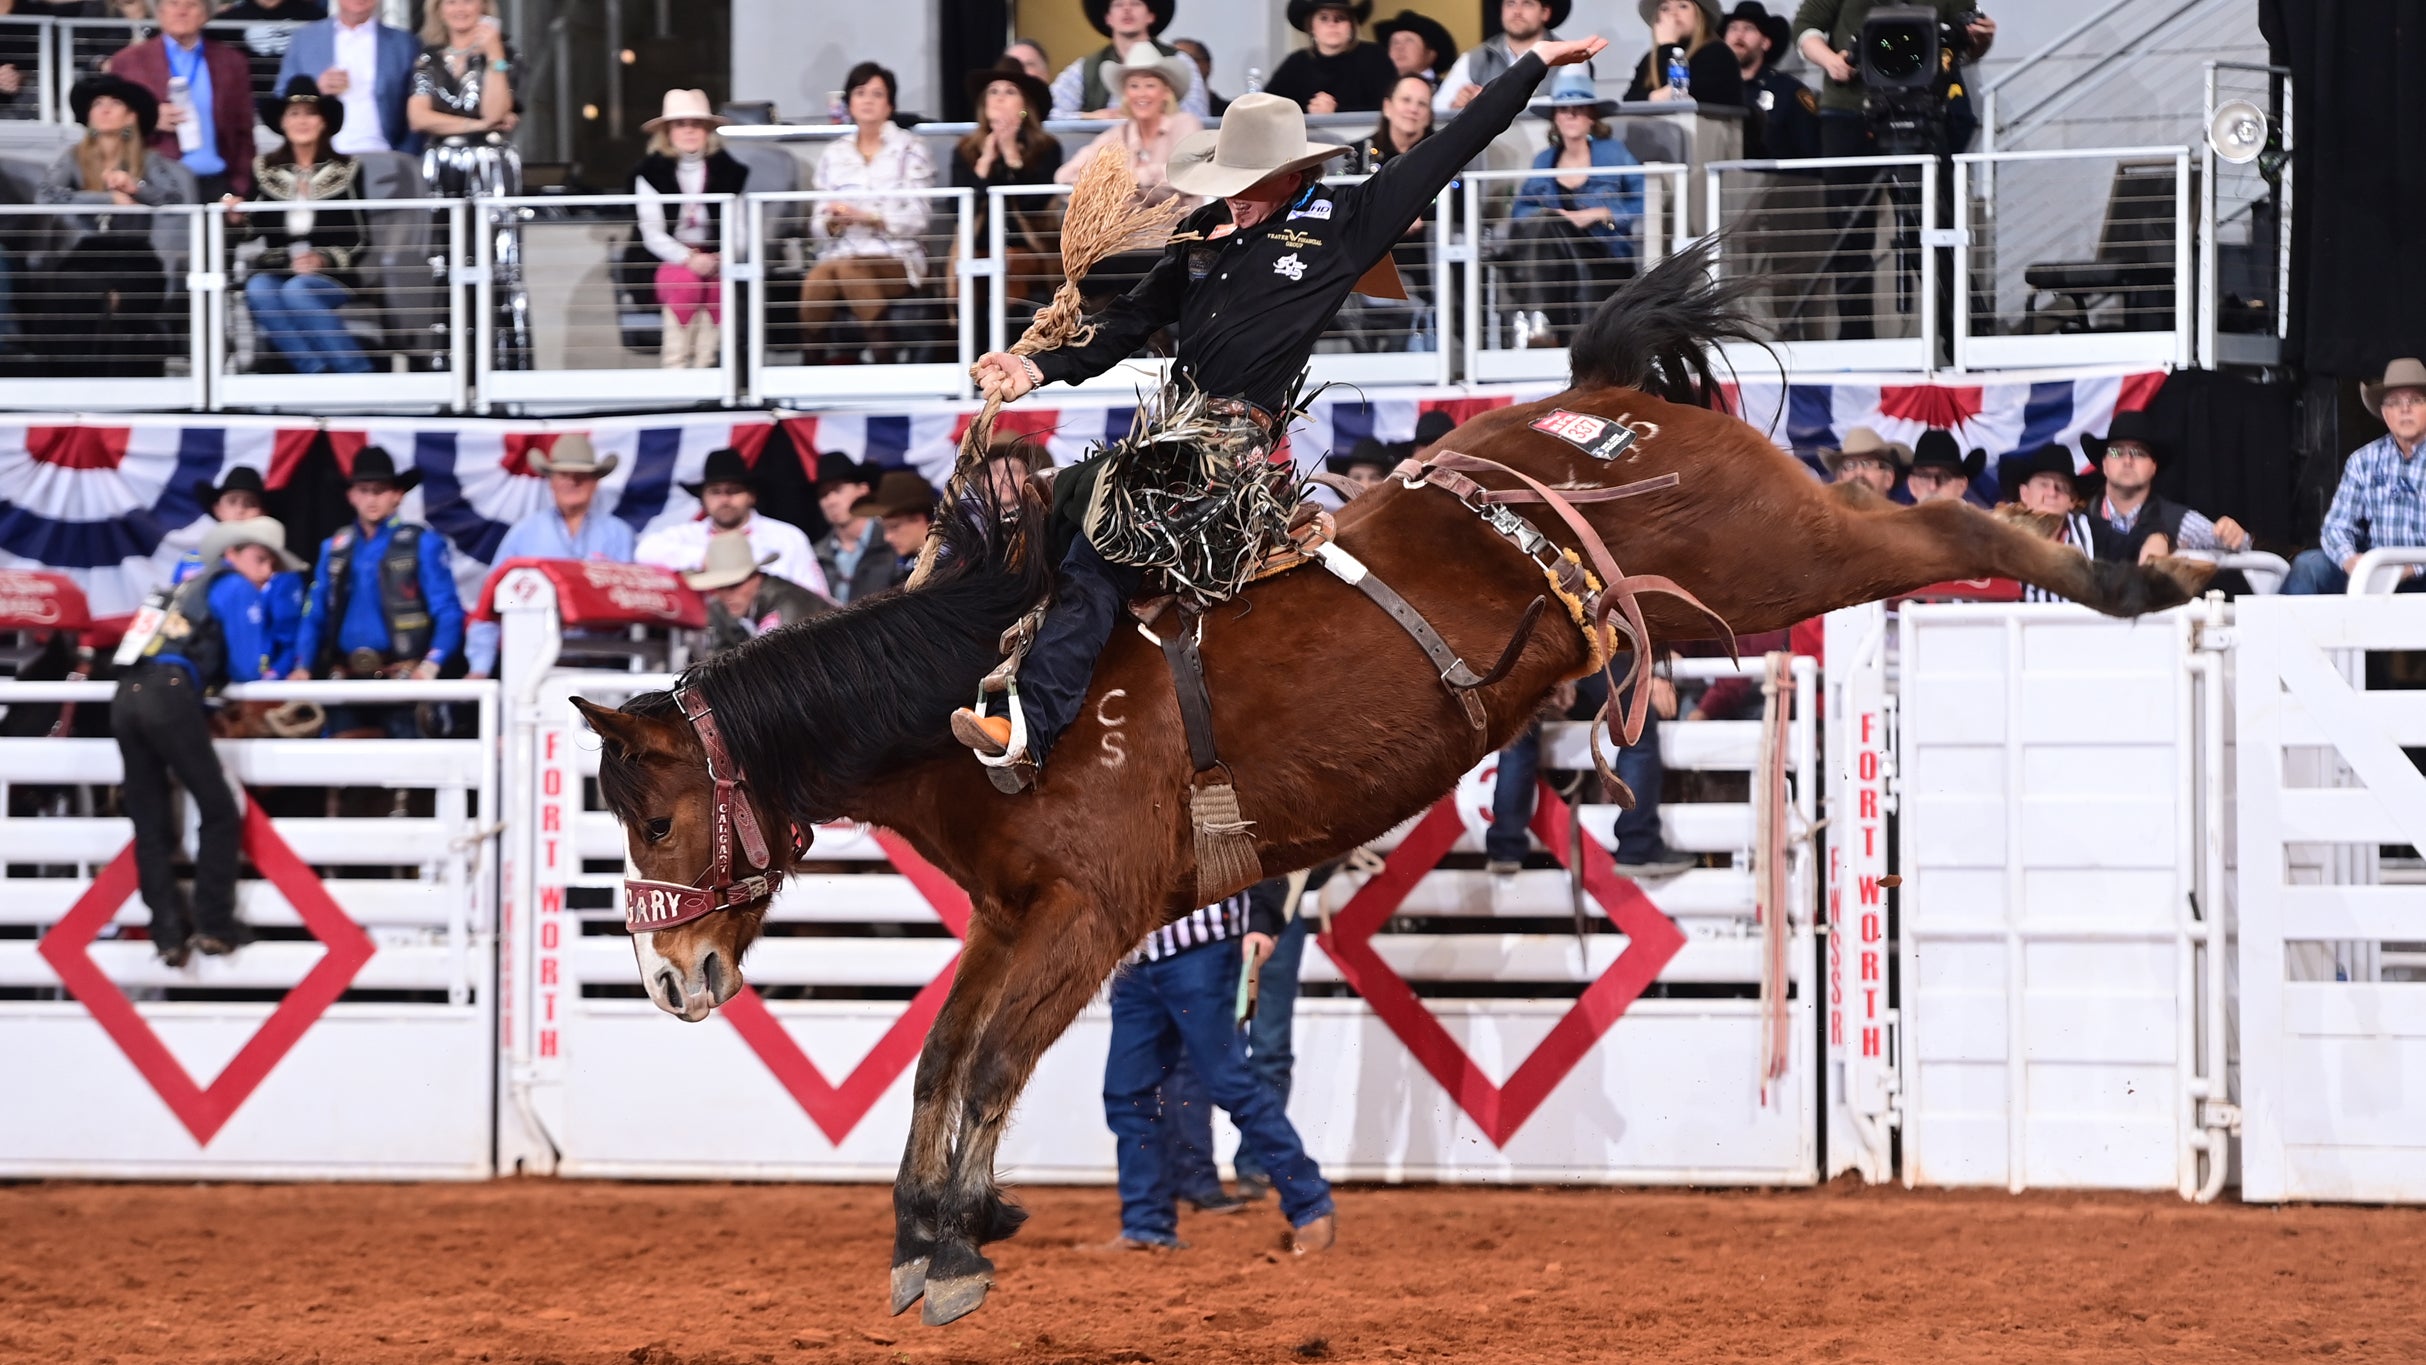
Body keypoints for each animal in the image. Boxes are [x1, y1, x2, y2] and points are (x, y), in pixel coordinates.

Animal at [574, 244, 2211, 1328]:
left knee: (1939, 526)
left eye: (651, 812)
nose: (665, 979)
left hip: (1777, 556)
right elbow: (940, 1063)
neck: (989, 692)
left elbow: (986, 1066)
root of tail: (1598, 396)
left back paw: (2143, 576)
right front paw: (934, 1228)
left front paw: (958, 1251)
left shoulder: (1088, 918)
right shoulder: (1011, 917)